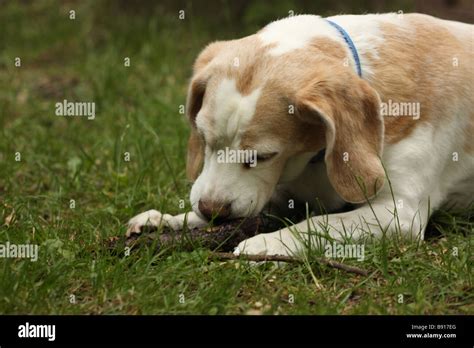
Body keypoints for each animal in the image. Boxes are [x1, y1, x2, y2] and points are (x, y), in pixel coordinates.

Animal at [127, 12, 474, 256]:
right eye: (204, 139)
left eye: (263, 156)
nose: (211, 211)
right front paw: (168, 219)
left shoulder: (399, 212)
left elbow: (320, 223)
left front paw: (267, 243)